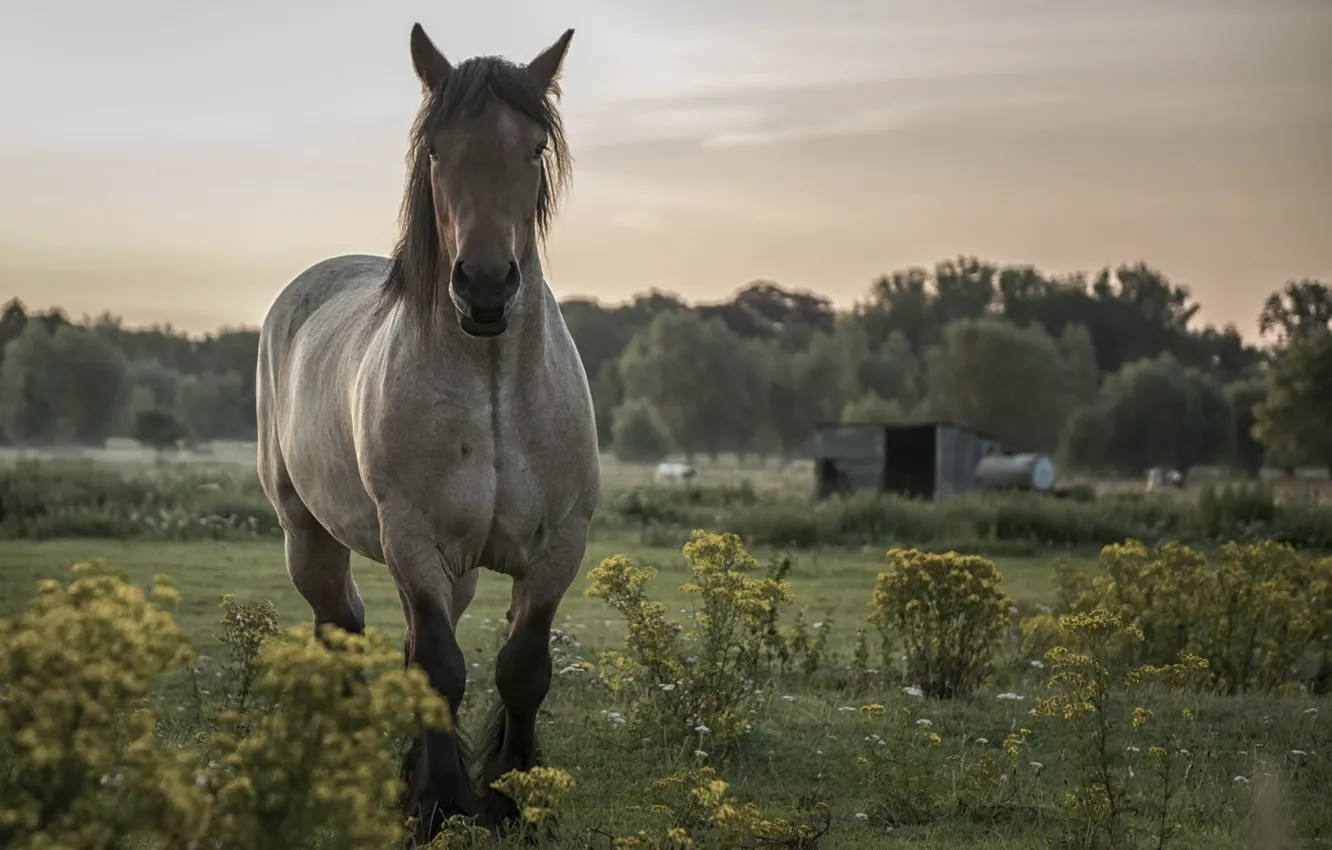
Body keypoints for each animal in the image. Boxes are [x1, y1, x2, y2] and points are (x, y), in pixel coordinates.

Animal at [254, 22, 599, 845]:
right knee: (341, 625)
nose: (485, 286)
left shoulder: (558, 547)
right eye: (438, 150)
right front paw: (440, 802)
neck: (495, 391)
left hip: (460, 568)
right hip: (308, 535)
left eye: (533, 148)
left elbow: (521, 668)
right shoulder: (412, 539)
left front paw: (511, 795)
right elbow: (442, 668)